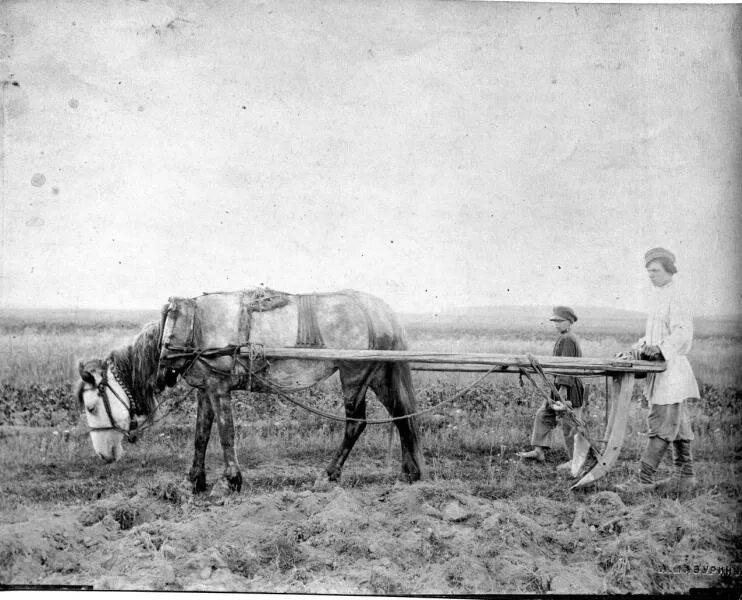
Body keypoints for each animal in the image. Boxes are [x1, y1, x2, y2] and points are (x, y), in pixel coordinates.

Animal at [76, 290, 428, 492]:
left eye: (92, 406)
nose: (103, 456)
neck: (188, 326)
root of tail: (381, 311)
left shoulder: (219, 386)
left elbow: (225, 433)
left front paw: (232, 480)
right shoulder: (205, 387)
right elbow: (200, 435)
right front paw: (194, 481)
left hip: (354, 373)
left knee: (356, 424)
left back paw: (328, 476)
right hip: (379, 373)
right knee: (401, 416)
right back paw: (409, 473)